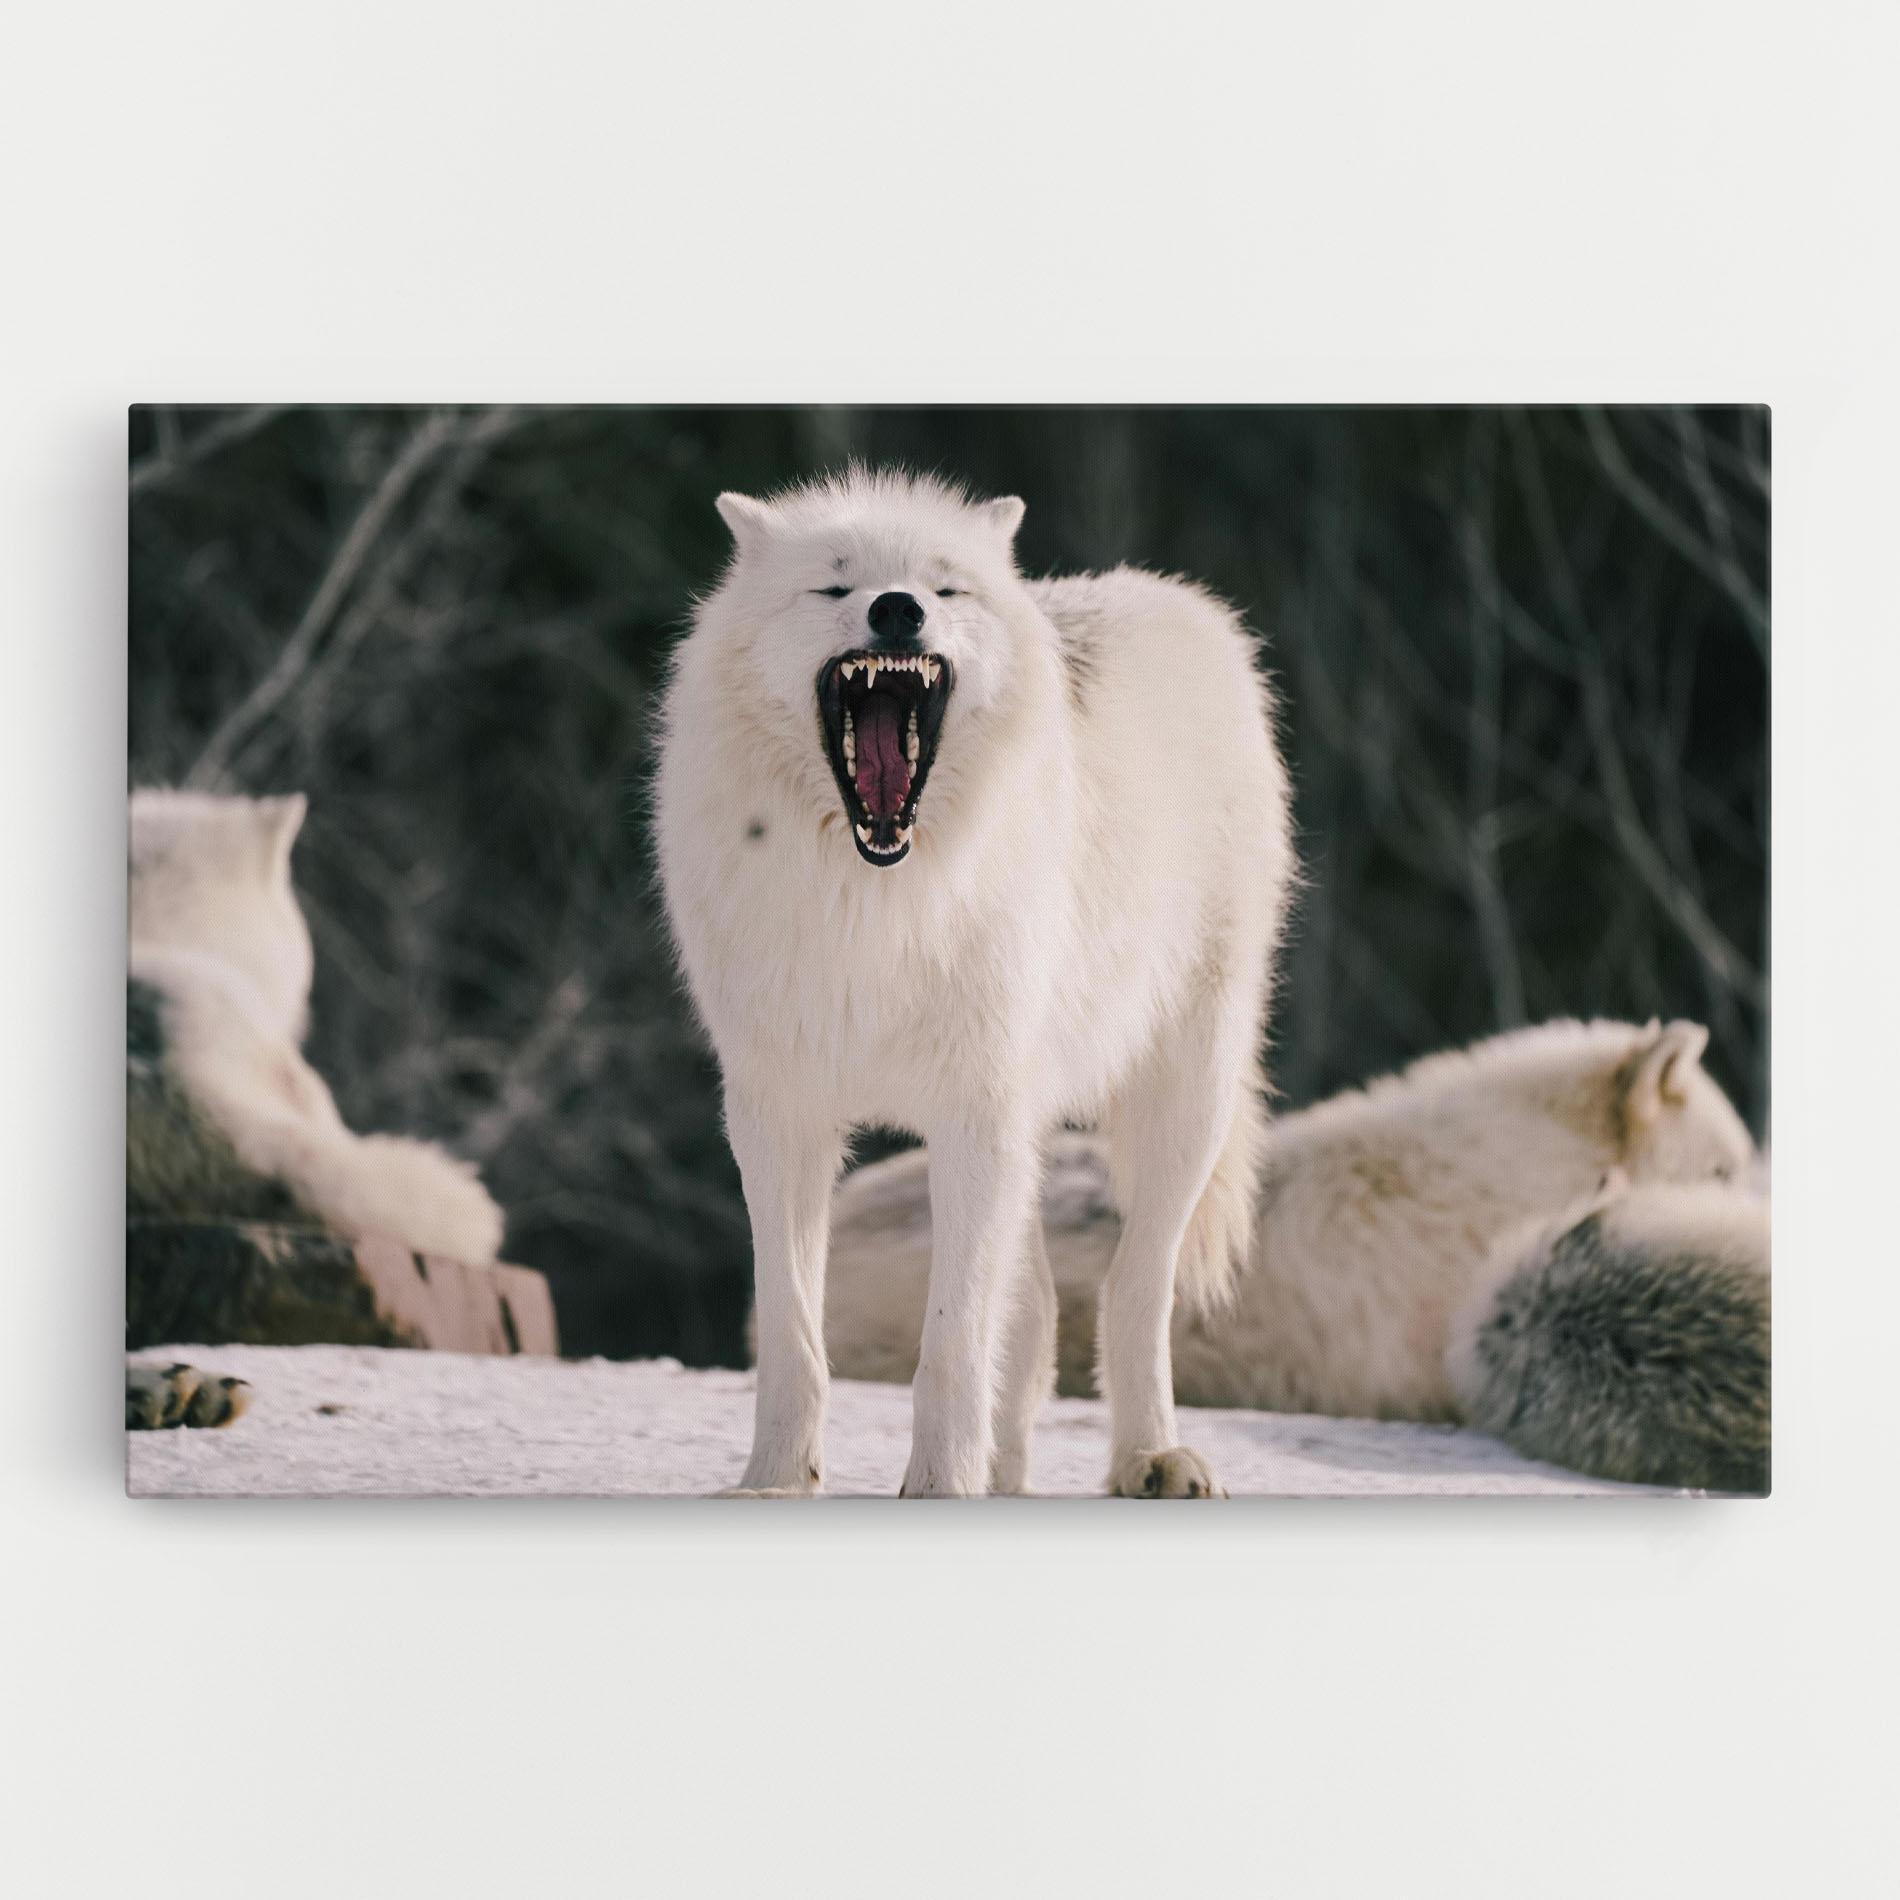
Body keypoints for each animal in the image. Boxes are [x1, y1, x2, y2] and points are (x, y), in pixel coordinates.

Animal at [654, 470, 1293, 1497]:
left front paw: (938, 1486)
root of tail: (1179, 601)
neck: (875, 903)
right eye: (835, 586)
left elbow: (951, 1343)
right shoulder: (777, 1114)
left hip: (1182, 1098)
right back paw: (1012, 1475)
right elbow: (793, 1332)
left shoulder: (972, 1114)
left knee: (1133, 1287)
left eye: (945, 588)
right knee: (1033, 1314)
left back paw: (1152, 1456)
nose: (897, 609)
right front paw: (776, 1481)